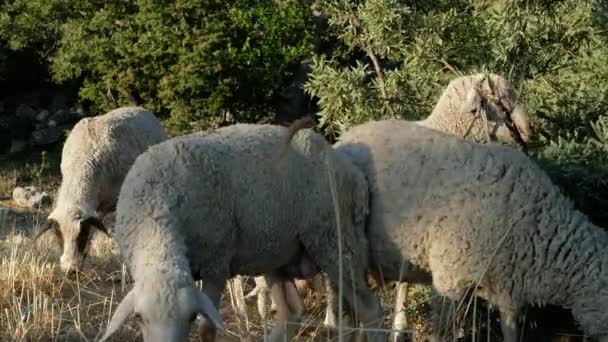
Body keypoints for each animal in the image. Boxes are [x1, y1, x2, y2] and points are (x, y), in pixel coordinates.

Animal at [100, 122, 384, 342]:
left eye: (190, 316)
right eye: (138, 317)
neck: (157, 217)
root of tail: (350, 169)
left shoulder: (215, 265)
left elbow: (207, 330)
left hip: (335, 239)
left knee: (370, 310)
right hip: (277, 253)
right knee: (292, 311)